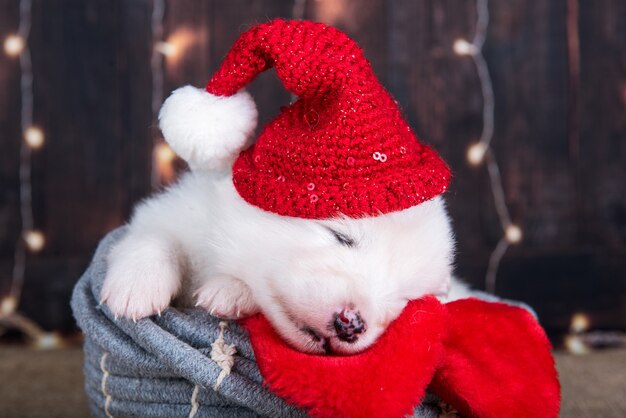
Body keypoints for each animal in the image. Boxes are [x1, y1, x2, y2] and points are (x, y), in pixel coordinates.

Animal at [98, 19, 468, 354]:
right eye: (341, 237)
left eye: (408, 299)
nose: (351, 324)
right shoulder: (175, 212)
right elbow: (153, 236)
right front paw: (137, 285)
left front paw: (230, 290)